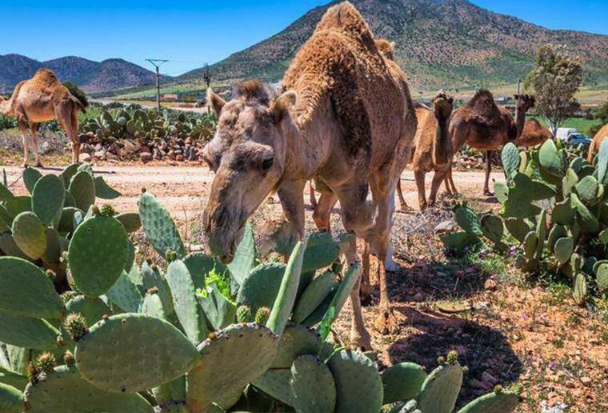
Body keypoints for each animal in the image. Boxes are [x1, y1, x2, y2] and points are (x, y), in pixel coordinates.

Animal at [203, 2, 418, 348]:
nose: (218, 238)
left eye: (266, 160)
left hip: (393, 160)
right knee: (330, 216)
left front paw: (361, 336)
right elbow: (299, 241)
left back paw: (384, 309)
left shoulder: (350, 183)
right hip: (331, 184)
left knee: (383, 220)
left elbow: (354, 239)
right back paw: (365, 287)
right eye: (208, 158)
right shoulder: (292, 179)